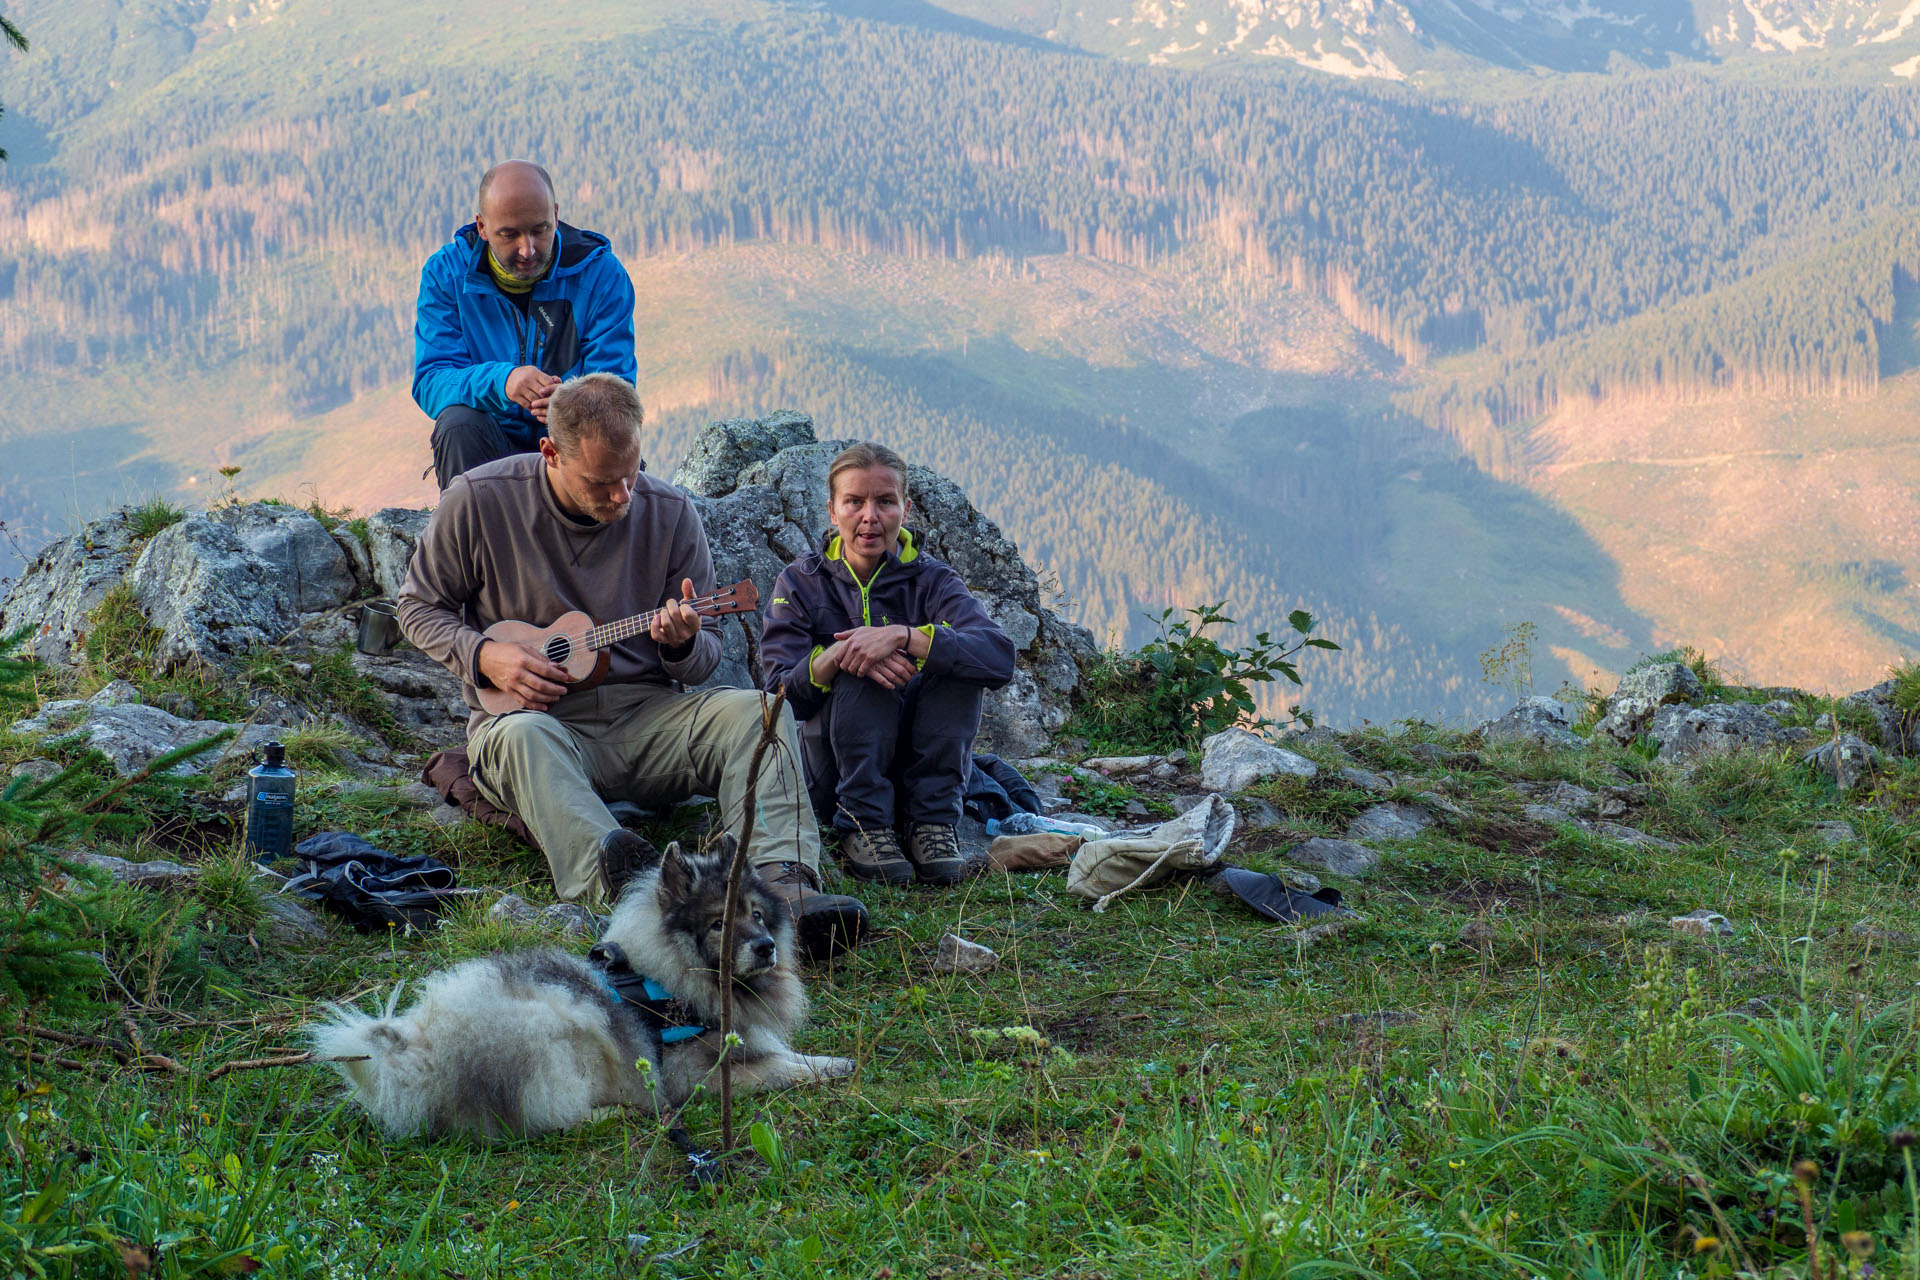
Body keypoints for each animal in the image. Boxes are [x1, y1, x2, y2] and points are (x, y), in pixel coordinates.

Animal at [311, 840, 852, 1143]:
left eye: (757, 914)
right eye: (719, 923)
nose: (765, 947)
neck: (670, 974)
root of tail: (423, 1052)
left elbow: (787, 1055)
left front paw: (831, 1062)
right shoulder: (693, 1073)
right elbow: (778, 1067)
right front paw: (832, 1069)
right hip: (556, 1031)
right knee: (541, 1122)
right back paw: (615, 1114)